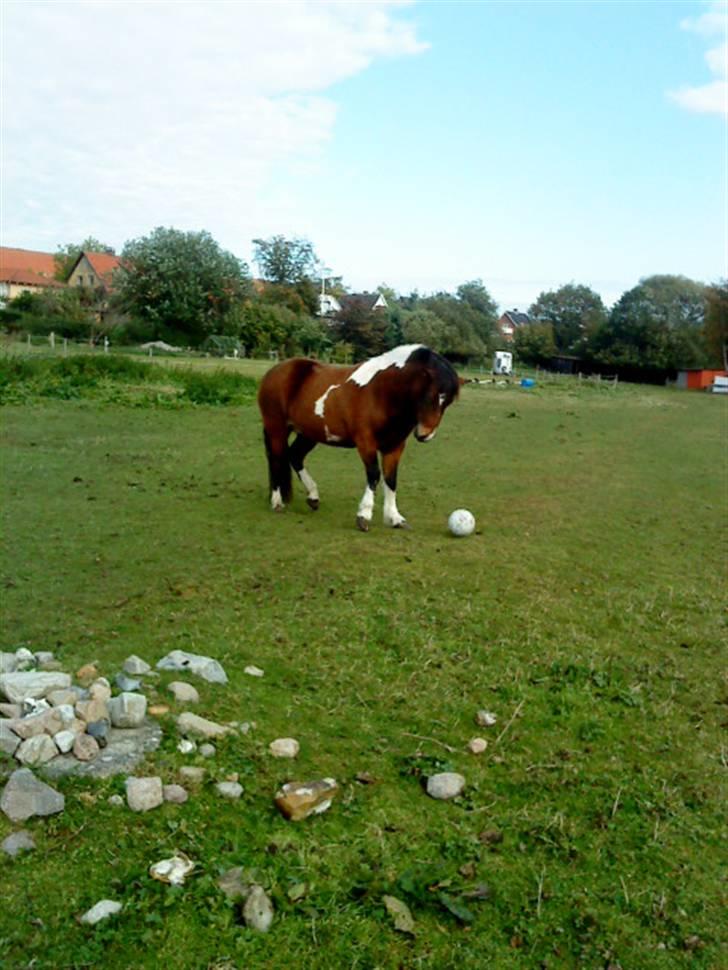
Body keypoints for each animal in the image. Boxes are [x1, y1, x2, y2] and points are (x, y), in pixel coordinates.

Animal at [258, 344, 458, 528]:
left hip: (309, 433)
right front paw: (364, 515)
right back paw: (277, 502)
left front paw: (395, 518)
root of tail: (274, 371)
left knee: (295, 455)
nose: (425, 434)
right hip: (277, 428)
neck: (382, 392)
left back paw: (313, 497)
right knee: (277, 459)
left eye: (448, 401)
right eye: (430, 395)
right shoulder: (366, 442)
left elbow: (391, 479)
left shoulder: (394, 446)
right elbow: (374, 475)